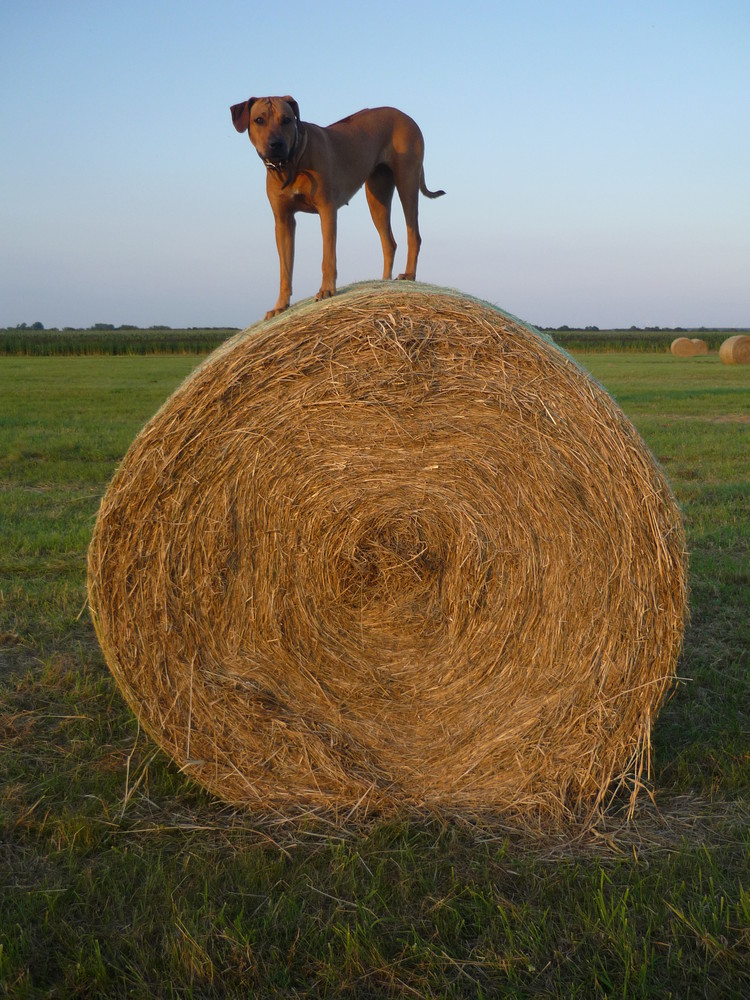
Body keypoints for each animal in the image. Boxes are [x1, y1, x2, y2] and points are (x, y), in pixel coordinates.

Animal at [232, 96, 444, 316]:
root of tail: (404, 115)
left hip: (407, 181)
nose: (276, 144)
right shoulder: (283, 221)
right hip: (377, 196)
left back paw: (409, 274)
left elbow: (328, 257)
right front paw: (280, 305)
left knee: (414, 235)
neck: (292, 163)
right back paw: (384, 281)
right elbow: (285, 269)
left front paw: (326, 290)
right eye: (259, 120)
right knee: (389, 243)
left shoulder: (327, 210)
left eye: (287, 120)